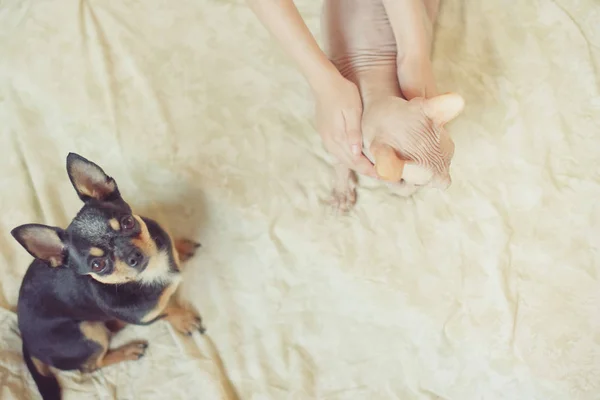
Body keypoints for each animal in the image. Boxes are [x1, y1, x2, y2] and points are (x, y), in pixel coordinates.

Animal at [322, 0, 466, 211]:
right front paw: (342, 189)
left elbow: (400, 188)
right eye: (423, 183)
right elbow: (340, 154)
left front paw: (394, 183)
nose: (448, 185)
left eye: (450, 161)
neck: (375, 87)